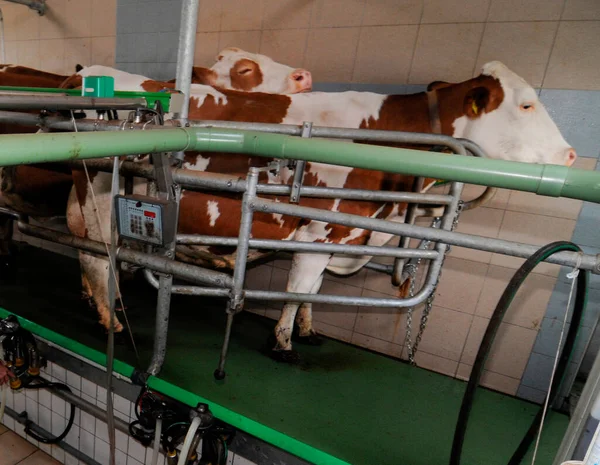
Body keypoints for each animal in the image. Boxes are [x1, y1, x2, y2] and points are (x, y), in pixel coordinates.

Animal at [68, 59, 580, 360]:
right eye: (527, 104)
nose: (573, 155)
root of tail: (88, 72)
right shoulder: (319, 232)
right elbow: (300, 290)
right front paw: (283, 342)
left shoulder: (340, 234)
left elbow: (312, 292)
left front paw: (308, 331)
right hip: (101, 195)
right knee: (97, 257)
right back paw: (111, 319)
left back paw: (100, 302)